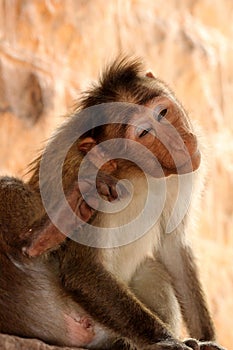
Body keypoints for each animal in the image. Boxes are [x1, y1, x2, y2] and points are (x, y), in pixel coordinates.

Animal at [0, 57, 225, 350]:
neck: (141, 173)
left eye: (163, 113)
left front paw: (207, 339)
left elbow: (173, 247)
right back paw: (41, 236)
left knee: (152, 270)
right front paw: (165, 341)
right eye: (144, 132)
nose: (177, 142)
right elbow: (83, 269)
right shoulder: (89, 174)